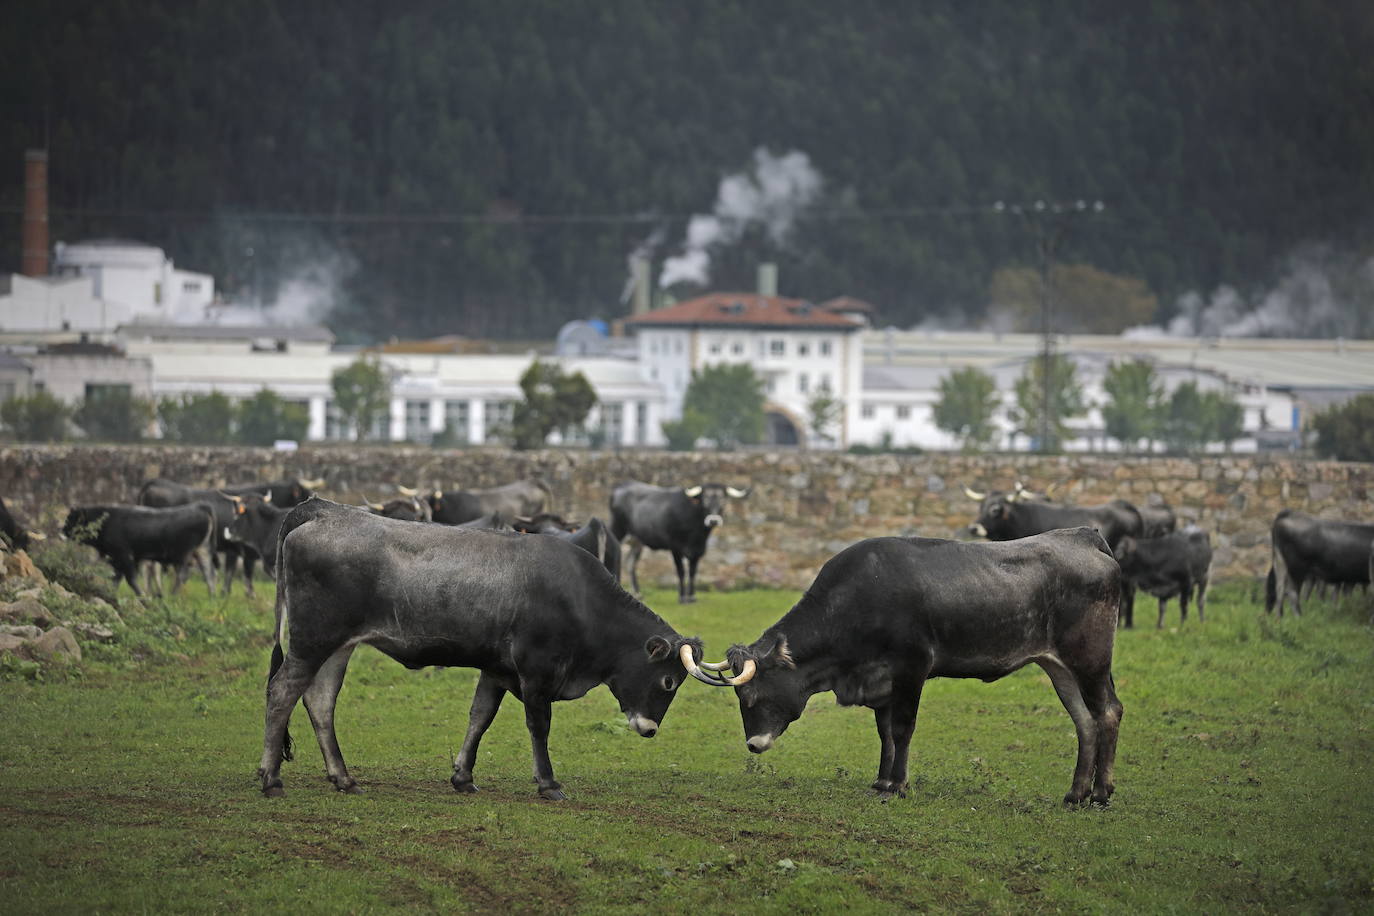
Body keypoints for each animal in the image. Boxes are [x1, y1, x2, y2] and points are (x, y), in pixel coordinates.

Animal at [62, 505, 214, 598]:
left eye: (71, 519)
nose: (62, 530)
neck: (106, 520)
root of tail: (201, 509)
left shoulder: (124, 556)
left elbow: (130, 579)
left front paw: (142, 596)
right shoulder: (119, 559)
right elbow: (116, 579)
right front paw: (110, 593)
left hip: (183, 555)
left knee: (182, 575)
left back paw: (171, 595)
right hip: (201, 551)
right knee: (208, 574)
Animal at [258, 497, 708, 796]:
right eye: (668, 682)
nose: (649, 729)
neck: (581, 599)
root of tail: (322, 509)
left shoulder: (496, 668)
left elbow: (480, 717)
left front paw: (463, 776)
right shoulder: (536, 671)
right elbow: (538, 725)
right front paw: (548, 782)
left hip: (337, 646)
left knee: (320, 701)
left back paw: (343, 777)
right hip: (313, 640)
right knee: (282, 691)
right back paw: (271, 777)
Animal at [610, 480, 747, 601]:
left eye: (723, 500)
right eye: (705, 499)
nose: (713, 520)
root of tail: (622, 485)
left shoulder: (698, 550)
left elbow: (692, 572)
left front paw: (691, 597)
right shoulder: (675, 548)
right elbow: (681, 571)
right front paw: (682, 597)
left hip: (637, 541)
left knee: (630, 563)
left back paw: (637, 593)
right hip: (617, 531)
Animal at [687, 530, 1126, 807]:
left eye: (752, 695)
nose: (753, 744)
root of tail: (1083, 535)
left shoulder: (912, 667)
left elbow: (902, 728)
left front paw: (897, 785)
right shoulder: (881, 681)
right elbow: (885, 732)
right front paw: (882, 780)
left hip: (1089, 660)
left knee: (1107, 712)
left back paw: (1100, 793)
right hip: (1060, 667)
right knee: (1084, 721)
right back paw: (1075, 794)